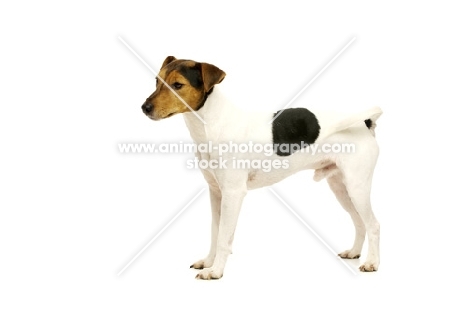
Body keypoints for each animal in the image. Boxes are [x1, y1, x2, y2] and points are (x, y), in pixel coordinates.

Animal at [143, 56, 384, 280]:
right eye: (156, 81)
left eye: (178, 85)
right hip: (341, 188)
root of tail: (365, 124)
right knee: (360, 222)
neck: (213, 123)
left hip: (357, 188)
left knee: (373, 224)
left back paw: (372, 263)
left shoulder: (233, 194)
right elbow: (215, 232)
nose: (144, 108)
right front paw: (209, 262)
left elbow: (223, 238)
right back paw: (354, 252)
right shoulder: (216, 193)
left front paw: (216, 271)